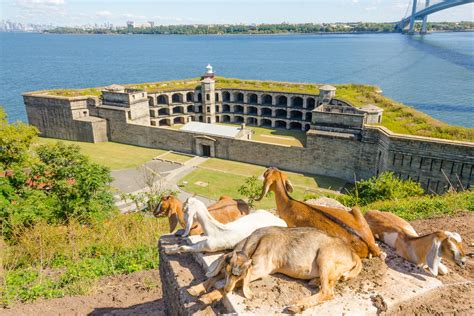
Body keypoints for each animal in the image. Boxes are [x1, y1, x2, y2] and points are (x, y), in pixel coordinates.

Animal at [187, 226, 362, 312]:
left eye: (240, 275)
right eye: (230, 270)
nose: (228, 288)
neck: (253, 243)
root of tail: (353, 254)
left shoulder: (260, 269)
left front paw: (206, 297)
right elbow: (215, 277)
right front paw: (195, 289)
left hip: (325, 257)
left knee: (328, 292)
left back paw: (297, 306)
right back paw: (313, 281)